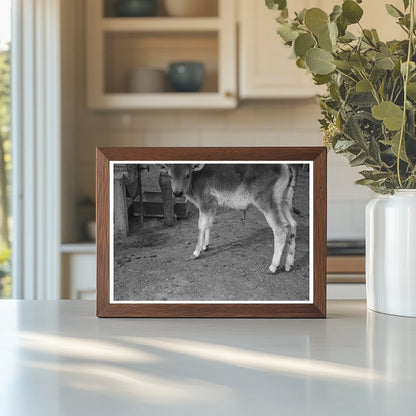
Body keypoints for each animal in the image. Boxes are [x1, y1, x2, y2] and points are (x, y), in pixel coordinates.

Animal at [159, 164, 300, 274]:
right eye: (170, 175)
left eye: (187, 175)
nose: (177, 193)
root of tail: (285, 166)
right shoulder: (212, 204)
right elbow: (210, 223)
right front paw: (206, 245)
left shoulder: (204, 203)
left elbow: (201, 225)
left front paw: (196, 252)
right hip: (283, 201)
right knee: (292, 224)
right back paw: (289, 265)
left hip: (266, 202)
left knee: (281, 228)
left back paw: (273, 267)